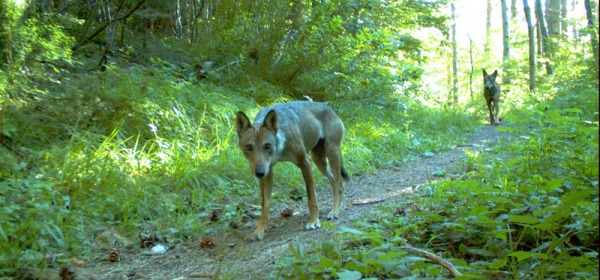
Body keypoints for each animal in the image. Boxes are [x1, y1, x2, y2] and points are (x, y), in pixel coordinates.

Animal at [233, 100, 346, 241]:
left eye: (268, 146)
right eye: (248, 147)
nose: (259, 173)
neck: (280, 148)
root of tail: (329, 108)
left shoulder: (305, 163)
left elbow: (311, 199)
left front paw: (313, 221)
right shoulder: (268, 173)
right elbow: (265, 207)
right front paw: (259, 231)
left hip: (331, 154)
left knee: (338, 184)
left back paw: (334, 211)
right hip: (319, 161)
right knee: (336, 183)